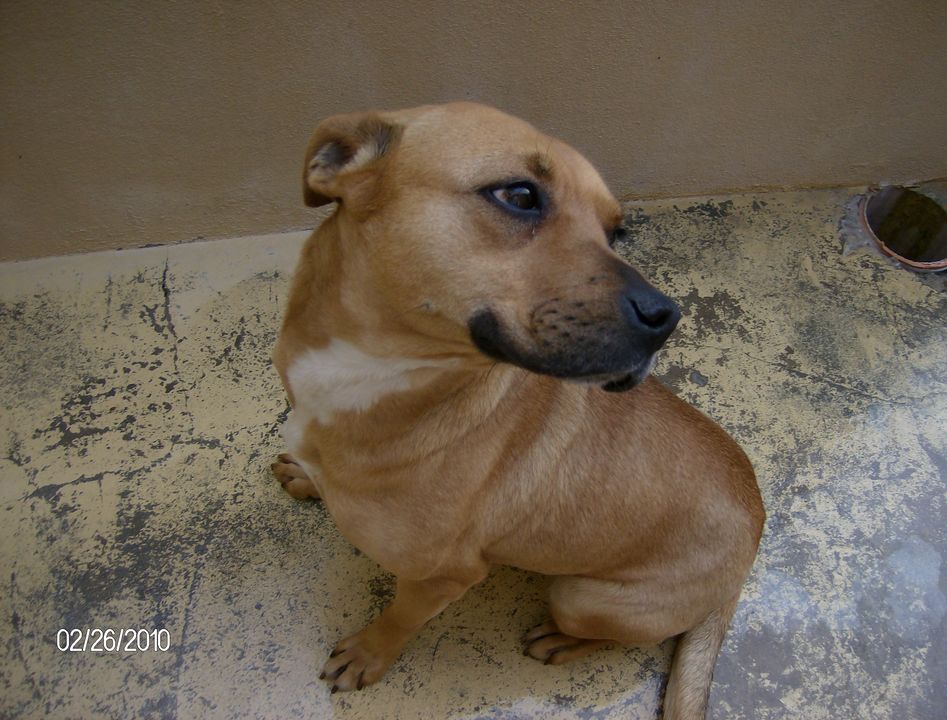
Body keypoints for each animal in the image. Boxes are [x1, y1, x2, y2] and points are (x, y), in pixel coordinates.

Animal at [271, 103, 764, 719]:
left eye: (615, 231)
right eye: (520, 195)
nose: (667, 317)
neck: (380, 375)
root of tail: (755, 526)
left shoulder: (444, 578)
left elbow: (400, 618)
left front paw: (368, 654)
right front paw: (306, 475)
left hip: (580, 595)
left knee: (612, 635)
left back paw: (561, 641)